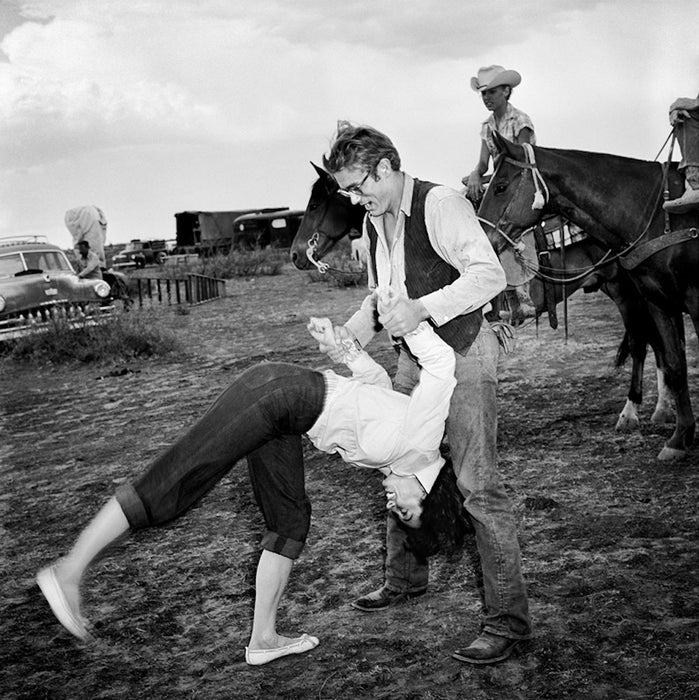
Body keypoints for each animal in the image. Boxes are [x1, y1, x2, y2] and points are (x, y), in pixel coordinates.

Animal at [290, 163, 672, 434]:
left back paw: (634, 411)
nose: (295, 254)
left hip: (626, 290)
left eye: (315, 203)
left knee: (643, 341)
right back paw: (661, 407)